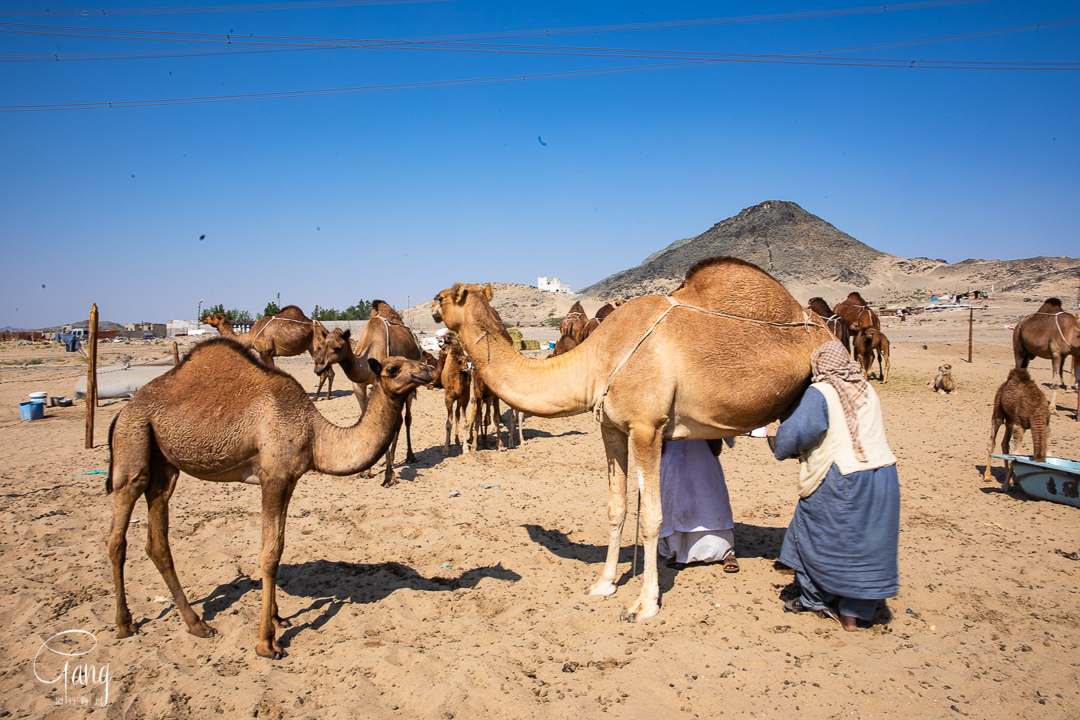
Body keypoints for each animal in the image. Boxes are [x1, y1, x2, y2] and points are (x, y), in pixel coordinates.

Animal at [105, 338, 432, 660]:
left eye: (413, 361)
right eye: (392, 368)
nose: (427, 371)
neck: (314, 435)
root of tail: (124, 410)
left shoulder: (289, 479)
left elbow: (278, 546)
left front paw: (277, 618)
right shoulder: (273, 478)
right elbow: (269, 555)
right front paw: (267, 643)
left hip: (164, 465)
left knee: (157, 540)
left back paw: (197, 624)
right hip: (133, 439)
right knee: (118, 531)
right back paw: (125, 624)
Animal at [201, 308, 332, 403]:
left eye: (212, 316)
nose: (203, 319)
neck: (249, 336)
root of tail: (324, 329)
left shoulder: (266, 351)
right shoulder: (261, 353)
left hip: (316, 347)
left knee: (324, 373)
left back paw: (315, 397)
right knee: (330, 372)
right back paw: (327, 396)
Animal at [313, 297, 421, 483]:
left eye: (338, 347)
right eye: (322, 346)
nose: (319, 368)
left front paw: (389, 476)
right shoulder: (359, 385)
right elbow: (368, 419)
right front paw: (365, 470)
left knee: (407, 418)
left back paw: (410, 456)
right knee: (398, 420)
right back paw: (391, 459)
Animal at [429, 255, 825, 621]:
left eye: (444, 295)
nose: (432, 310)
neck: (598, 358)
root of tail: (822, 326)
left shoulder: (647, 427)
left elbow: (651, 516)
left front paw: (645, 604)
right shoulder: (612, 427)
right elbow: (616, 506)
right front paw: (604, 584)